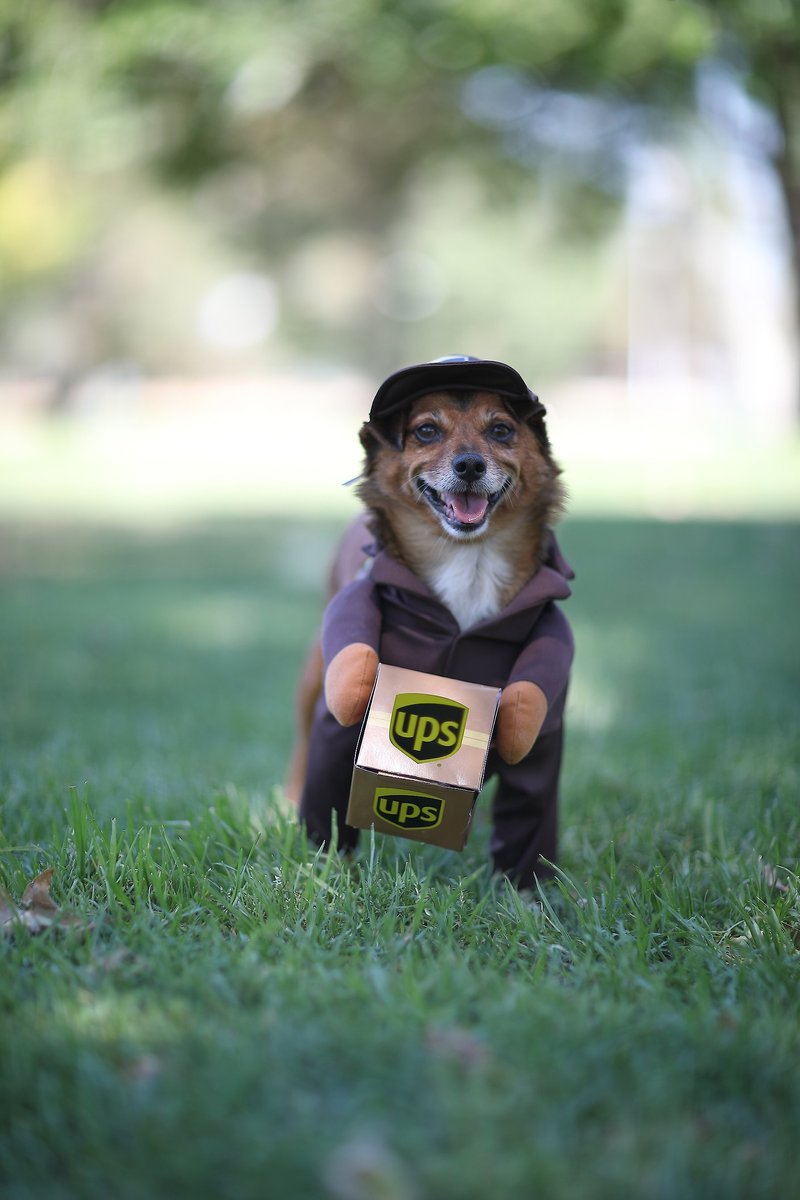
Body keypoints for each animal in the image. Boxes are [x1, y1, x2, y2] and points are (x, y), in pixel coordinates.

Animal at [287, 355, 575, 892]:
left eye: (501, 430)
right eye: (426, 431)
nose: (470, 465)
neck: (468, 560)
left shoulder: (547, 717)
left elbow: (530, 781)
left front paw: (527, 897)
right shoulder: (344, 714)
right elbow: (329, 784)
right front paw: (328, 871)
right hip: (313, 672)